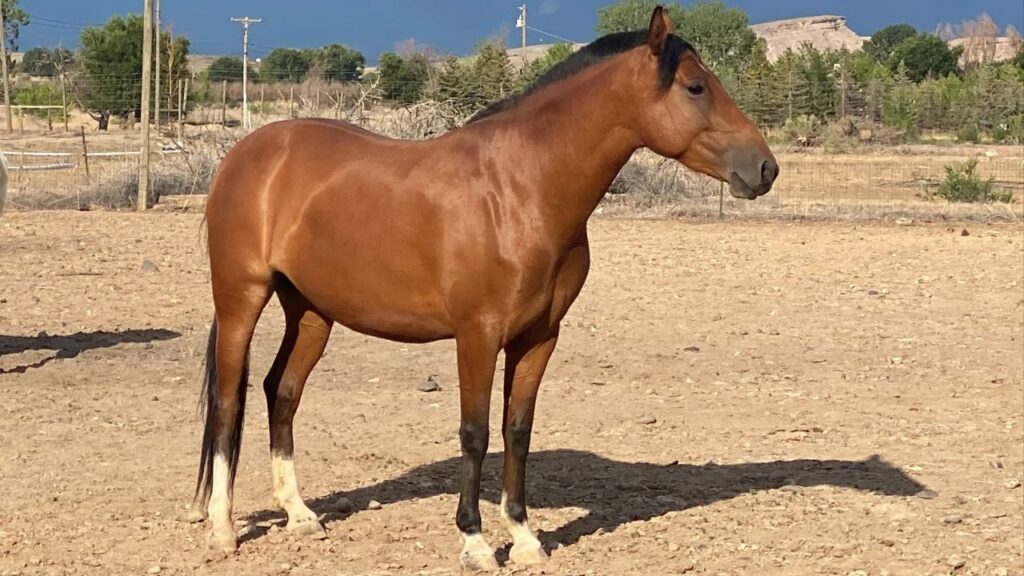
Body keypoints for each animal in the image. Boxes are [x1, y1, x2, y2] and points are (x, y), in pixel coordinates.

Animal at [192, 7, 778, 571]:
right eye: (695, 87)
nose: (765, 168)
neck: (520, 190)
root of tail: (248, 151)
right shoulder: (477, 335)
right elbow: (474, 432)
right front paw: (474, 542)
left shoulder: (538, 338)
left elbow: (517, 429)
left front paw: (524, 537)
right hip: (242, 299)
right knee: (227, 400)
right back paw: (222, 529)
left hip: (312, 311)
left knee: (282, 392)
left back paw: (299, 515)